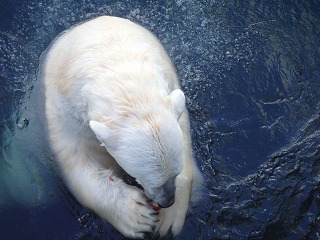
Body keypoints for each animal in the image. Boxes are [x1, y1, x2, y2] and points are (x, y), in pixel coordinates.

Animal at [44, 15, 202, 239]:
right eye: (141, 176)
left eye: (176, 173)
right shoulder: (66, 112)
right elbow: (78, 161)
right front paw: (136, 215)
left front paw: (169, 220)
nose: (167, 201)